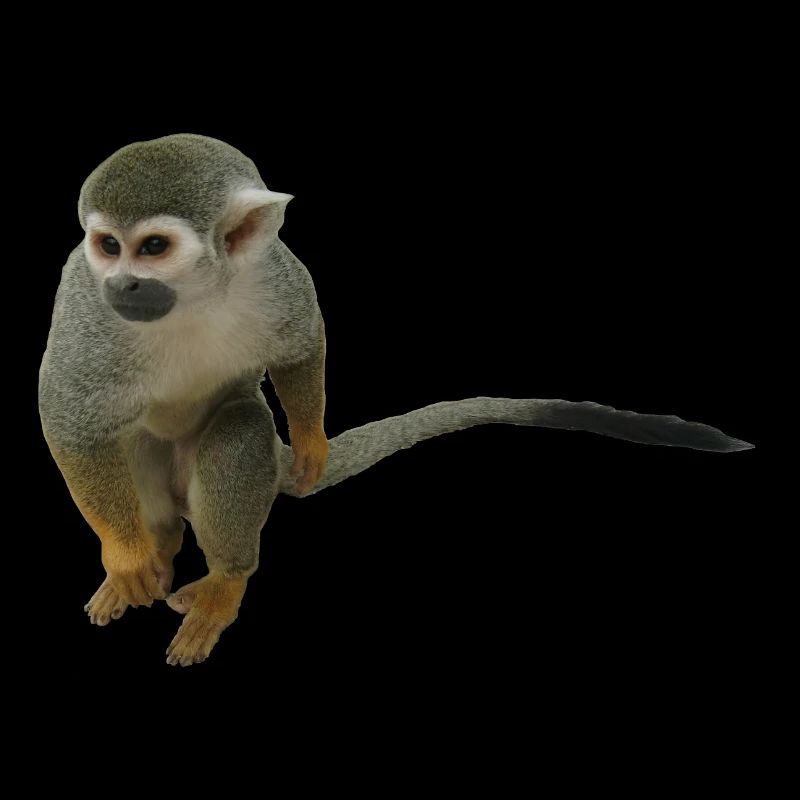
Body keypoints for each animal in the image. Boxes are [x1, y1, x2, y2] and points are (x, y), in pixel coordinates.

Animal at [38, 134, 753, 667]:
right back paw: (151, 550)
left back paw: (226, 580)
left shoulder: (273, 272)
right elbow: (68, 419)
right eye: (108, 246)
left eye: (154, 247)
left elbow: (304, 341)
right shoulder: (88, 306)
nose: (125, 284)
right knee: (132, 451)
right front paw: (127, 556)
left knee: (239, 431)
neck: (195, 296)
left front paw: (313, 442)